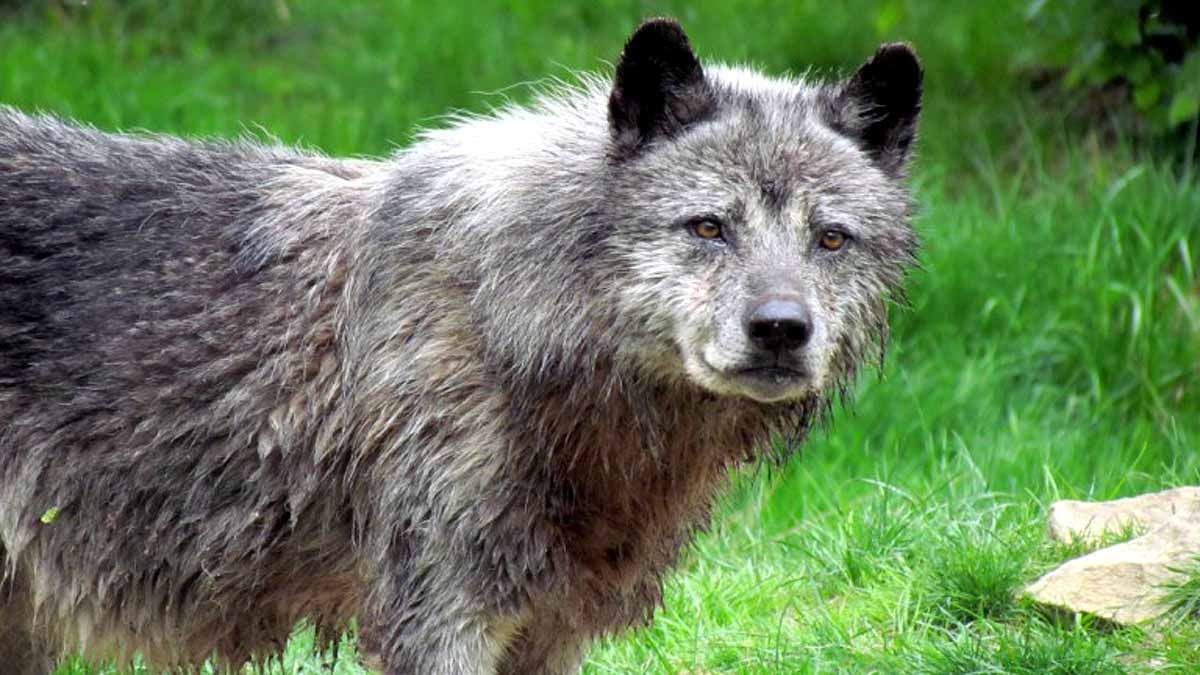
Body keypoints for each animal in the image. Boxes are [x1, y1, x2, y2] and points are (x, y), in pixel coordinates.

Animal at [0, 18, 921, 675]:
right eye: (708, 227)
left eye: (830, 239)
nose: (781, 328)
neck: (511, 328)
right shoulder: (441, 622)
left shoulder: (548, 633)